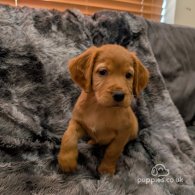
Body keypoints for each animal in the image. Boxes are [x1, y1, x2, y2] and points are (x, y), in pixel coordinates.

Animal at [57, 44, 149, 175]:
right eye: (102, 72)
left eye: (128, 75)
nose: (119, 95)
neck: (100, 107)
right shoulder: (78, 122)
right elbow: (68, 136)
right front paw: (66, 161)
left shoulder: (122, 134)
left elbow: (113, 151)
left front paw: (106, 170)